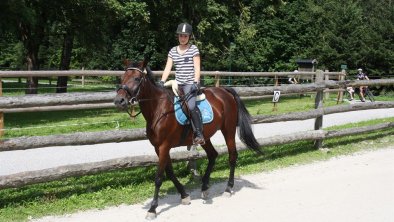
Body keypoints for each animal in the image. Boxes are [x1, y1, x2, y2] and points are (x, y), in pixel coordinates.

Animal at [114, 59, 262, 219]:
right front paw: (184, 195)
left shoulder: (164, 146)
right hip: (205, 137)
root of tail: (225, 91)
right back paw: (204, 187)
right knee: (213, 155)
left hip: (228, 130)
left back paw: (228, 189)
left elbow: (159, 177)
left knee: (232, 156)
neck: (159, 109)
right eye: (122, 78)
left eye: (136, 78)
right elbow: (170, 173)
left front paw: (152, 209)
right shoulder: (158, 148)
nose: (119, 100)